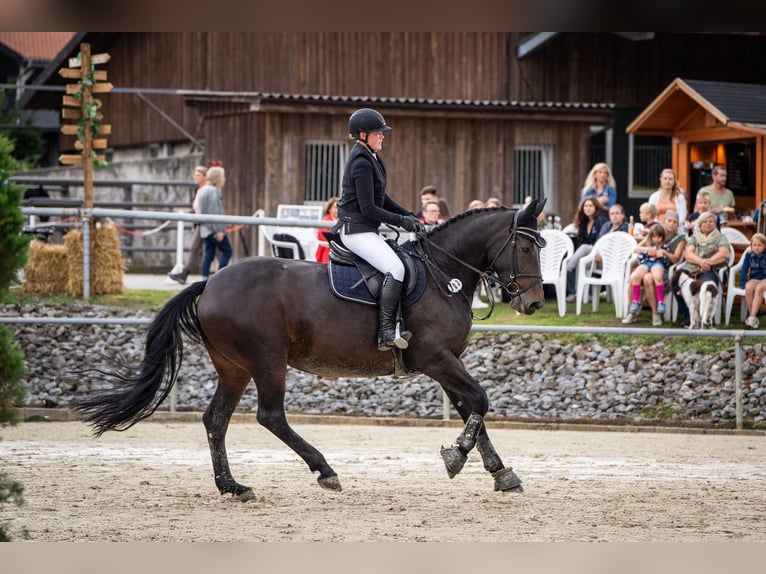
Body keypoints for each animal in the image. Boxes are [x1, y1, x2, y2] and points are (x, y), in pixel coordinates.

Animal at [75, 200, 548, 502]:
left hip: (234, 367)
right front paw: (456, 456)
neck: (441, 273)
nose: (534, 304)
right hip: (267, 360)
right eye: (526, 247)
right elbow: (479, 402)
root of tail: (210, 282)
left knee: (216, 420)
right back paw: (325, 471)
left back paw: (233, 487)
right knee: (270, 416)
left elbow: (473, 408)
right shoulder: (436, 359)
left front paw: (501, 473)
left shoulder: (449, 360)